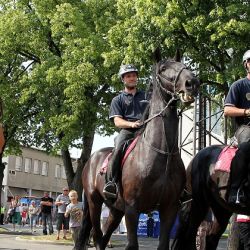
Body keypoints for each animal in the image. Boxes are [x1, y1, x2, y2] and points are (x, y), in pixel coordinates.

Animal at [76, 55, 199, 250]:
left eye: (183, 64)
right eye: (163, 69)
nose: (192, 83)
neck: (162, 153)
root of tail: (91, 159)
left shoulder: (170, 209)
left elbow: (163, 244)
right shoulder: (132, 209)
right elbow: (132, 245)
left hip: (115, 210)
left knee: (104, 237)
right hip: (94, 202)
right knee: (97, 235)